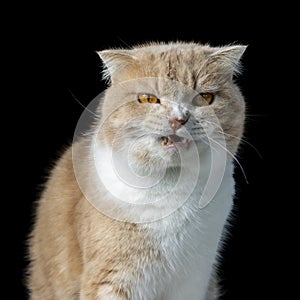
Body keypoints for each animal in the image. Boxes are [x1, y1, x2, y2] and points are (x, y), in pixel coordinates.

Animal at [27, 41, 246, 298]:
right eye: (148, 99)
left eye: (205, 98)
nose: (178, 119)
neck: (172, 192)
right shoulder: (112, 278)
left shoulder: (194, 281)